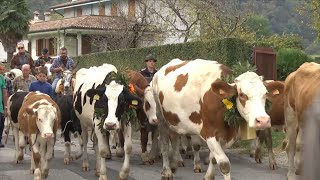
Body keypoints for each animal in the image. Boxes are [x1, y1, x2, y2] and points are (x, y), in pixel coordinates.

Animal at [152, 58, 282, 179]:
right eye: (242, 95)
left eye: (265, 94)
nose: (263, 121)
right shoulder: (209, 132)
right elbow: (224, 164)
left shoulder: (225, 135)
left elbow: (213, 158)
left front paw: (209, 176)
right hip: (161, 116)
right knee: (164, 143)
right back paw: (167, 171)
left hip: (175, 120)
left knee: (174, 139)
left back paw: (175, 164)